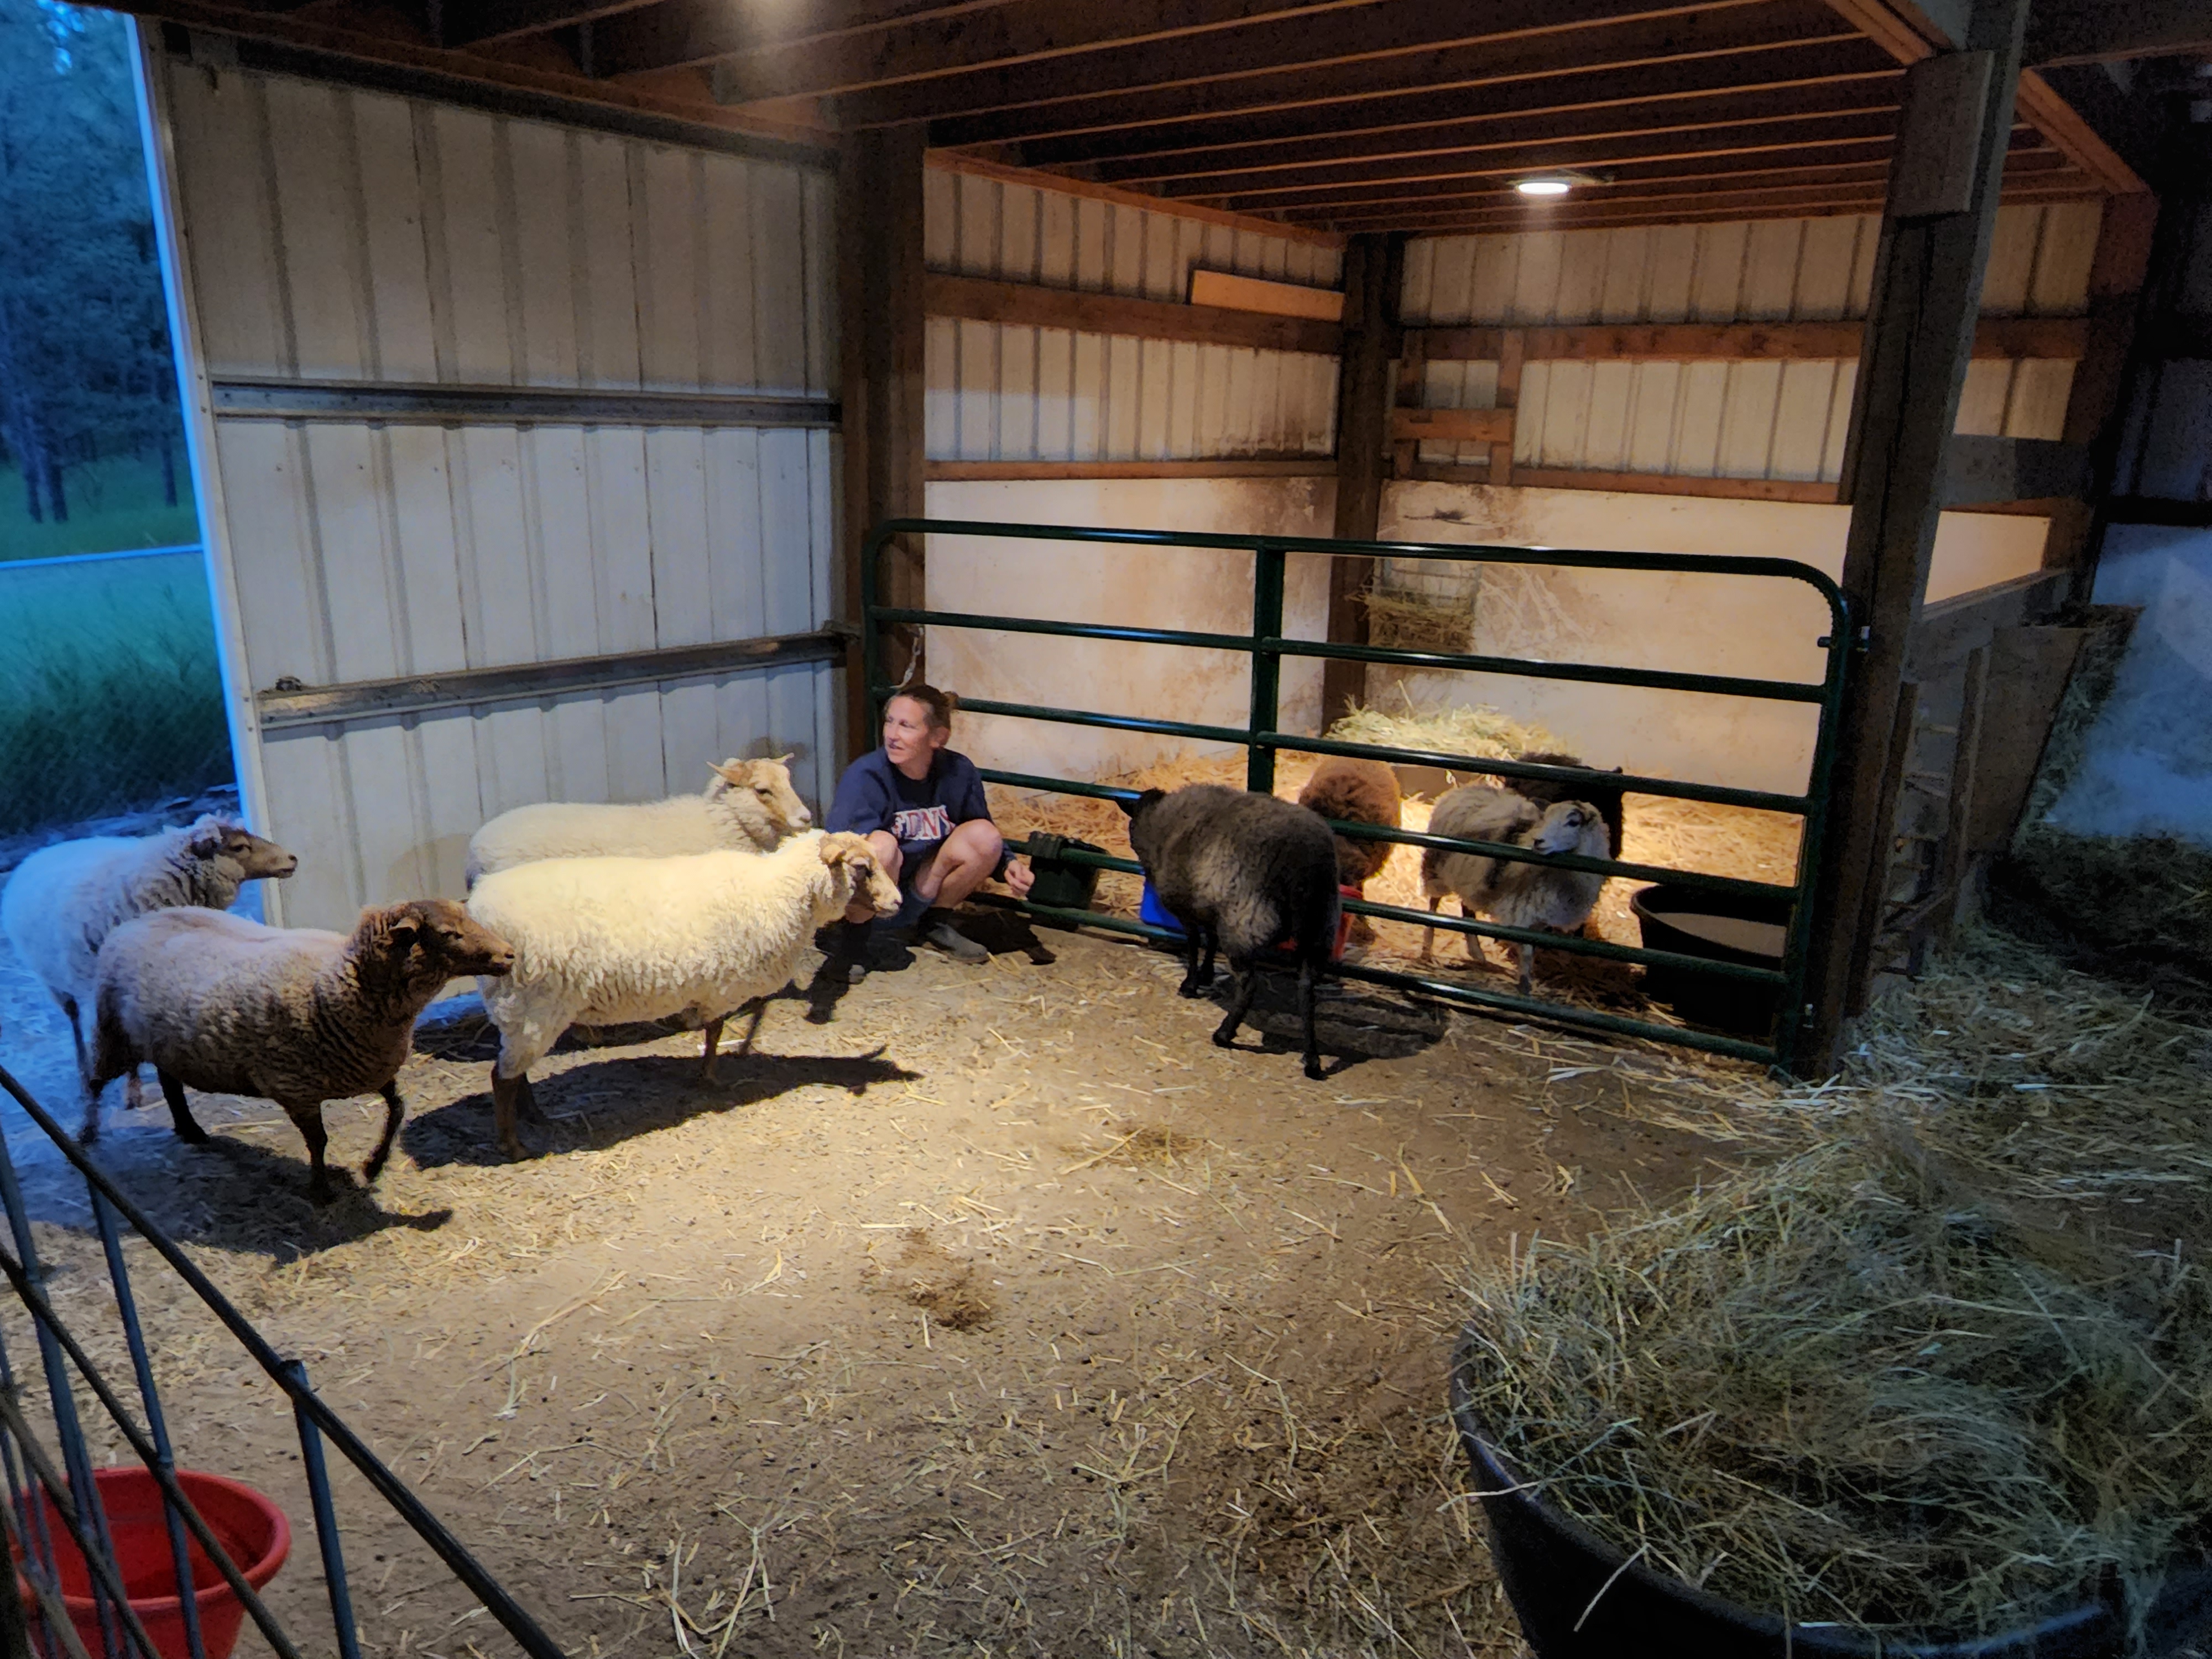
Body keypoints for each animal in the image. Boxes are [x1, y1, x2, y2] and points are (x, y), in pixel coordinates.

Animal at [1, 815, 298, 1094]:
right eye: (239, 847)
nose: (292, 858)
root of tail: (35, 855)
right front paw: (133, 1088)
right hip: (54, 980)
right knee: (74, 1019)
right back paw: (87, 1073)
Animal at [84, 899, 515, 1202]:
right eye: (448, 933)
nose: (510, 954)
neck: (343, 980)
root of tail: (131, 923)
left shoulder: (371, 1068)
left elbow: (398, 1110)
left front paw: (373, 1166)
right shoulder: (296, 1088)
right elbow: (319, 1141)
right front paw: (321, 1190)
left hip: (163, 1043)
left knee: (170, 1083)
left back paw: (189, 1130)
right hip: (113, 1034)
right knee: (94, 1082)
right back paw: (87, 1136)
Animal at [465, 830, 900, 1157]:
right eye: (862, 868)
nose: (897, 902)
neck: (778, 894)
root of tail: (479, 908)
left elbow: (712, 1031)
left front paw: (708, 1074)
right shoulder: (724, 985)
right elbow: (715, 1032)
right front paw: (711, 1078)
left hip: (520, 1010)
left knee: (514, 1070)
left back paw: (534, 1116)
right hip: (532, 1003)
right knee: (502, 1077)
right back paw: (513, 1145)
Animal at [1119, 784, 1339, 1081]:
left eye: (1131, 824)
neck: (1161, 824)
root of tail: (1304, 864)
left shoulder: (1187, 908)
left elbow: (1193, 944)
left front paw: (1190, 984)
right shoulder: (1209, 906)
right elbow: (1211, 940)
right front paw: (1206, 973)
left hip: (1244, 921)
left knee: (1249, 984)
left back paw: (1224, 1034)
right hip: (1318, 928)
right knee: (1307, 989)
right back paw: (1312, 1061)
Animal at [1419, 788, 1612, 995]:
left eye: (1573, 822)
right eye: (1545, 818)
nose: (1539, 841)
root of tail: (1463, 790)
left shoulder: (1541, 917)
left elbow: (1532, 951)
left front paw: (1527, 980)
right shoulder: (1523, 910)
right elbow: (1526, 952)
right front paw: (1524, 987)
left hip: (1470, 877)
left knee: (1467, 908)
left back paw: (1478, 955)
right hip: (1436, 869)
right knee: (1434, 904)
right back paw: (1427, 950)